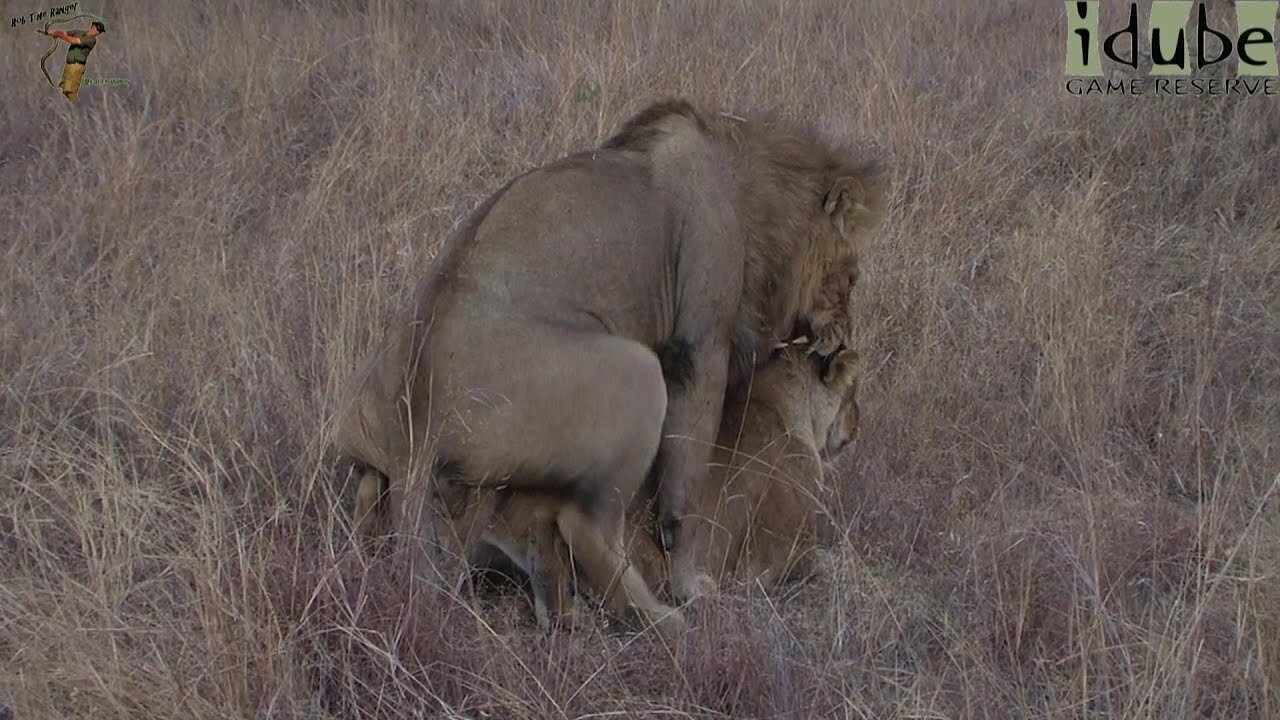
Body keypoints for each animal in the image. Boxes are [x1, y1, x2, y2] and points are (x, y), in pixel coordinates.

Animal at [335, 98, 885, 630]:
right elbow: (687, 486)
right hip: (638, 372)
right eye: (851, 276)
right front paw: (693, 585)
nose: (843, 339)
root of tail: (416, 431)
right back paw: (664, 619)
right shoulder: (701, 343)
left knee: (368, 487)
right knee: (588, 526)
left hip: (366, 411)